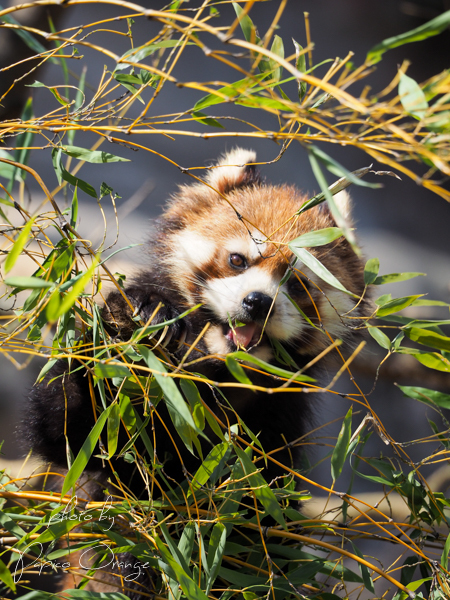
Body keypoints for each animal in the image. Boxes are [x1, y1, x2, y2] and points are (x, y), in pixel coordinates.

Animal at [23, 148, 370, 596]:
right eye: (238, 260)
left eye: (297, 284)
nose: (258, 302)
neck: (217, 372)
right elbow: (71, 433)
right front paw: (132, 321)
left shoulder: (276, 426)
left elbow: (261, 518)